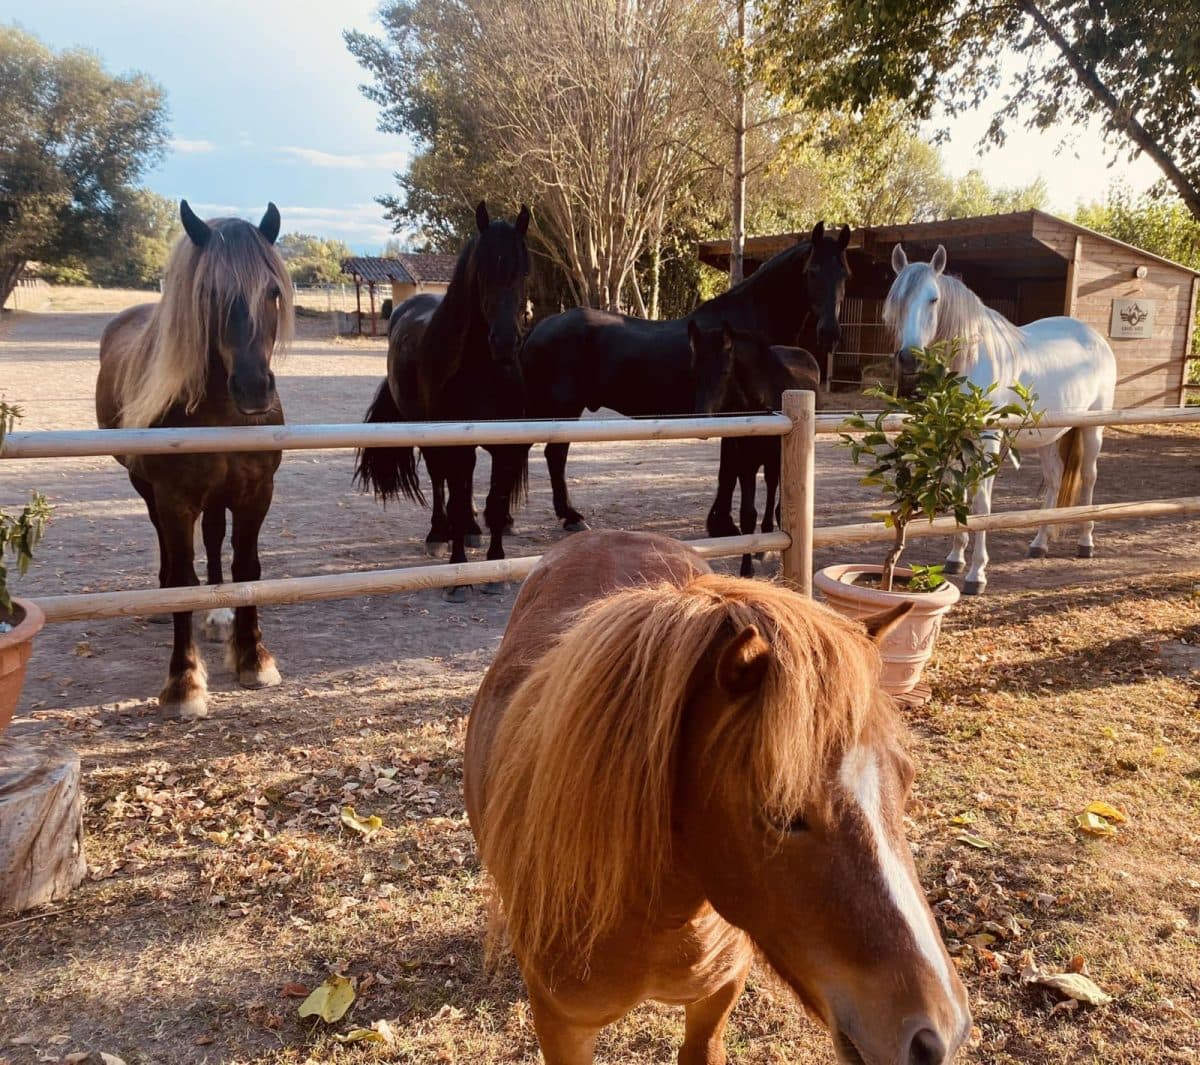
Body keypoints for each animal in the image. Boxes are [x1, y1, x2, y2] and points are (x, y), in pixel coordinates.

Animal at [95, 200, 291, 720]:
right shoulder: (175, 499)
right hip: (149, 492)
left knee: (215, 537)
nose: (254, 389)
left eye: (273, 291)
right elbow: (185, 574)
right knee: (167, 546)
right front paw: (183, 683)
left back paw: (219, 615)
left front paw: (253, 657)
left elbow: (247, 569)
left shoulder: (255, 494)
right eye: (208, 292)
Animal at [353, 202, 531, 602]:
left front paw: (495, 568)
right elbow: (454, 496)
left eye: (525, 271)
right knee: (440, 483)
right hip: (430, 436)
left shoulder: (506, 445)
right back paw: (440, 534)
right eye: (481, 272)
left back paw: (470, 531)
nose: (505, 342)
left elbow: (495, 504)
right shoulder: (452, 442)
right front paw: (459, 575)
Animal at [520, 222, 851, 531]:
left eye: (845, 274)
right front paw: (722, 524)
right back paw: (568, 517)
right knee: (549, 454)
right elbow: (728, 472)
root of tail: (539, 328)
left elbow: (727, 472)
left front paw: (719, 522)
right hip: (558, 409)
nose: (830, 333)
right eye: (812, 272)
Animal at [689, 322, 822, 577]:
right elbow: (747, 515)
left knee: (771, 488)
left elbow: (778, 507)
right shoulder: (746, 464)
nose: (701, 418)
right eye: (694, 371)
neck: (761, 404)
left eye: (724, 372)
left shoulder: (777, 460)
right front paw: (746, 569)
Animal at [886, 244, 1118, 595]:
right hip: (1048, 436)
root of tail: (1095, 337)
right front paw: (955, 559)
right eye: (897, 299)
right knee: (1055, 479)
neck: (971, 361)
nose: (910, 359)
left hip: (1092, 428)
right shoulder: (957, 438)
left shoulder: (988, 440)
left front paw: (976, 574)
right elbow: (961, 496)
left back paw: (1085, 542)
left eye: (933, 299)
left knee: (1089, 478)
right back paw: (1039, 543)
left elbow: (981, 503)